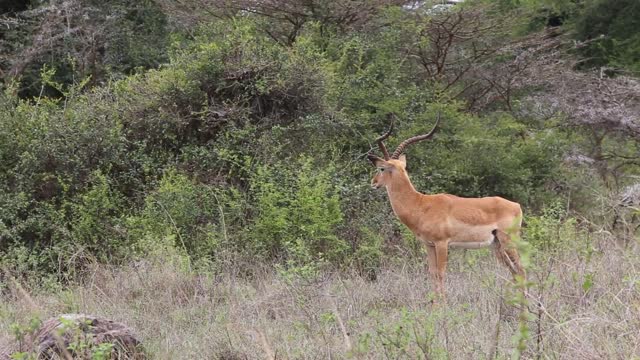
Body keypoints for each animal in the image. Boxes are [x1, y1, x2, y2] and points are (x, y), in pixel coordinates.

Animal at [370, 114, 524, 296]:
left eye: (381, 168)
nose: (373, 182)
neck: (421, 204)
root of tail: (516, 206)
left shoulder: (442, 243)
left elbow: (441, 273)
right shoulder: (429, 244)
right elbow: (432, 273)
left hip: (508, 240)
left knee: (521, 269)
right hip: (497, 244)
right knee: (514, 272)